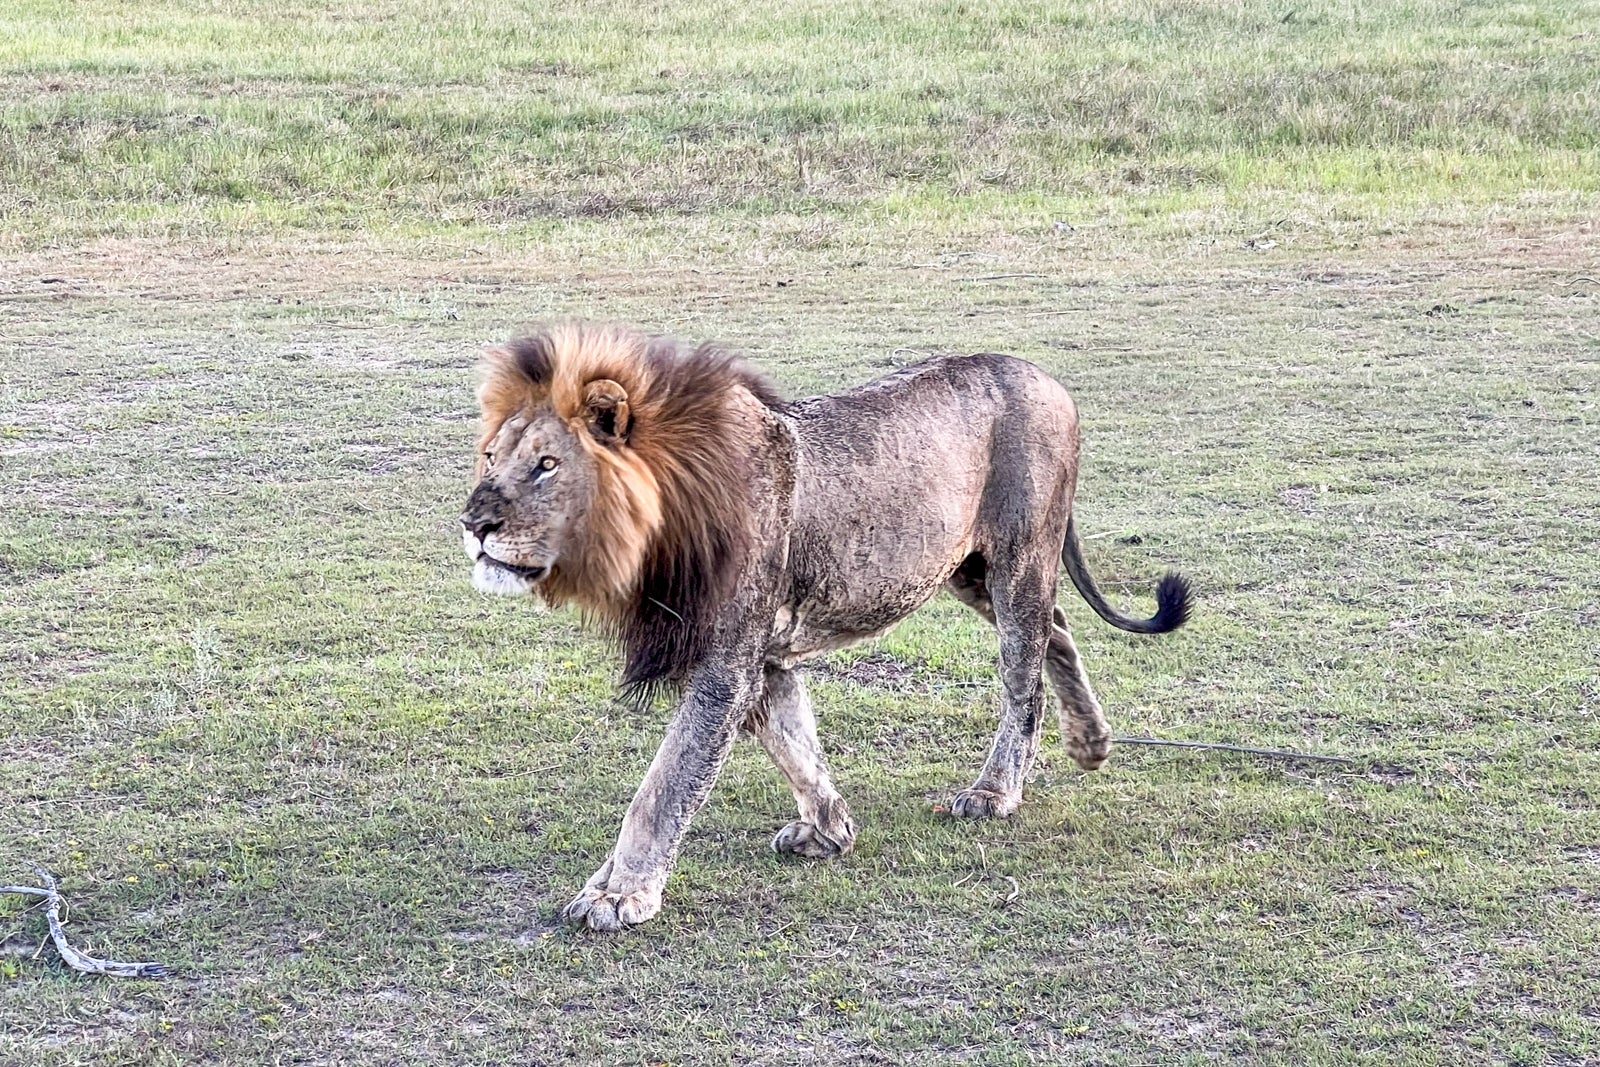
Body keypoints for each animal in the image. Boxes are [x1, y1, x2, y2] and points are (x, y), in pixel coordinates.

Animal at [460, 321, 1190, 927]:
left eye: (547, 465)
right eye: (492, 457)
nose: (473, 524)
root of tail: (1045, 376)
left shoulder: (725, 665)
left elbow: (664, 784)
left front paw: (618, 895)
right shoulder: (763, 657)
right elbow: (795, 744)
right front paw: (828, 831)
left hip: (1017, 563)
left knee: (1025, 675)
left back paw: (995, 790)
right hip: (966, 569)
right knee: (1058, 631)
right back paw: (1091, 743)